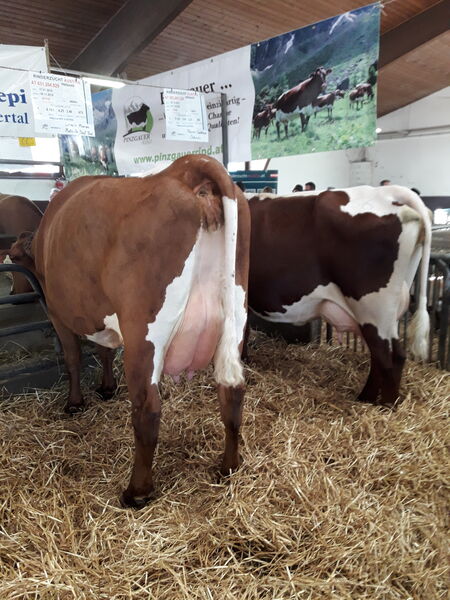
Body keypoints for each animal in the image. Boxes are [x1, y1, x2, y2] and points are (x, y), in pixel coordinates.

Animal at [6, 155, 250, 508]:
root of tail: (185, 168)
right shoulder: (99, 314)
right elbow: (105, 349)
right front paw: (107, 387)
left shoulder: (58, 313)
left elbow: (73, 358)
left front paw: (75, 403)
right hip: (235, 315)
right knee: (232, 391)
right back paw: (228, 466)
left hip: (143, 334)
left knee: (148, 409)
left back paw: (137, 492)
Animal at [245, 186, 431, 407]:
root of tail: (386, 192)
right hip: (387, 313)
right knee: (390, 356)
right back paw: (370, 399)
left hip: (372, 307)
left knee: (387, 358)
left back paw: (385, 405)